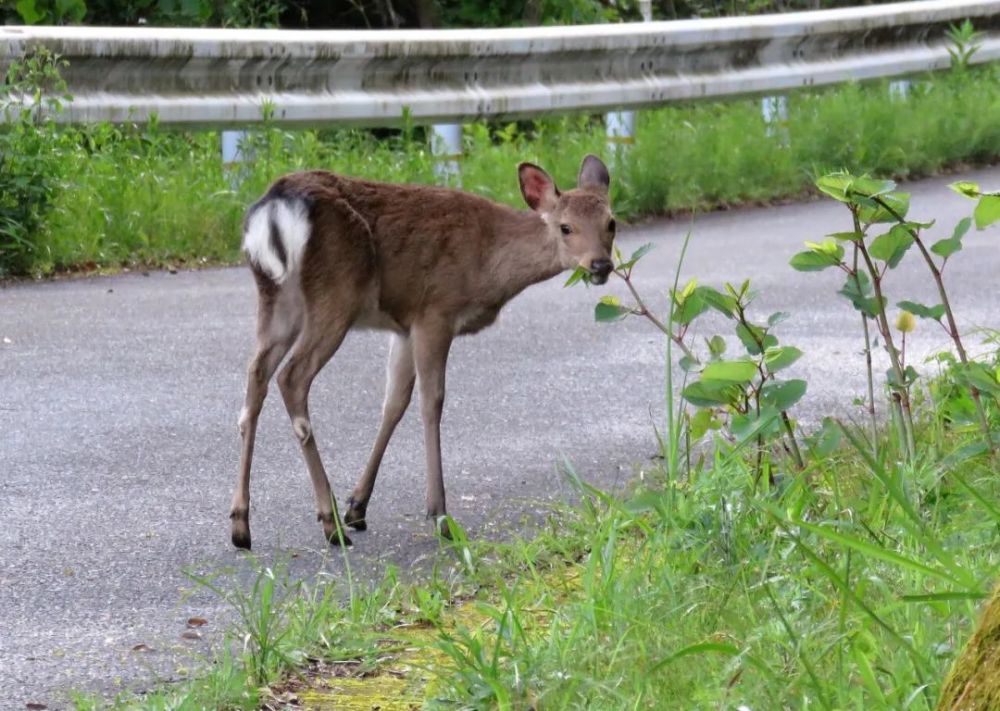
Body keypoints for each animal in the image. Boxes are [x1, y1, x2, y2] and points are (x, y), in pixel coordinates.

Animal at [230, 153, 616, 548]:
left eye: (611, 223)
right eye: (566, 227)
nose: (601, 265)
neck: (489, 261)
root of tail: (275, 207)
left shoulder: (404, 327)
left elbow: (393, 404)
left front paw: (358, 506)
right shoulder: (436, 311)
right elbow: (432, 403)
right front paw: (439, 515)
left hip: (277, 297)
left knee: (255, 376)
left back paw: (242, 525)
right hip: (336, 293)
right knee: (292, 378)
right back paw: (329, 523)